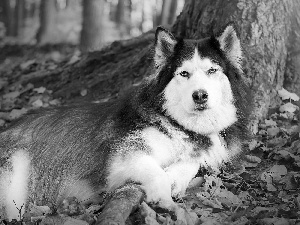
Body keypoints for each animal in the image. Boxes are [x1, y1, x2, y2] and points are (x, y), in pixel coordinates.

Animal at [1, 24, 252, 220]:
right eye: (183, 74)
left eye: (212, 70)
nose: (200, 95)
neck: (184, 126)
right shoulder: (125, 154)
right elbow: (156, 173)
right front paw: (163, 196)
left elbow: (194, 161)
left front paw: (176, 177)